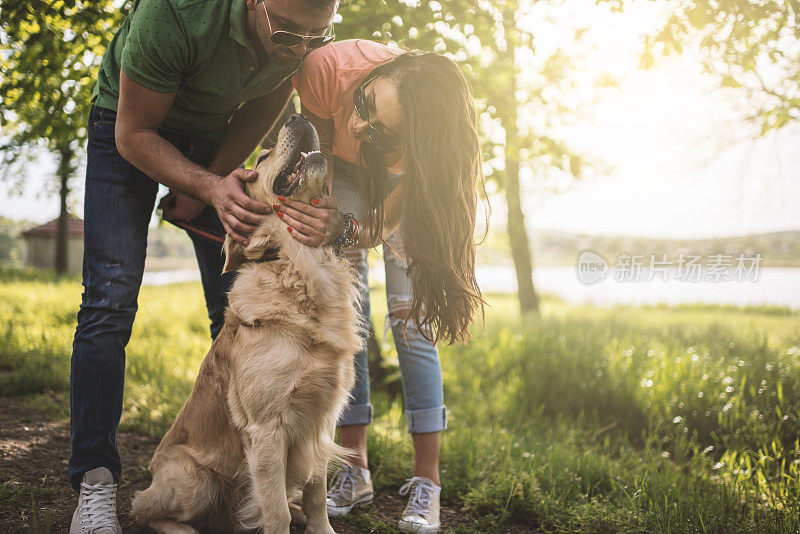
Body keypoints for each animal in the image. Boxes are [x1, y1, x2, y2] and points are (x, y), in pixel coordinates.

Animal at [132, 115, 362, 534]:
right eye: (264, 157)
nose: (297, 116)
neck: (300, 268)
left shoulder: (321, 418)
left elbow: (317, 494)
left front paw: (318, 524)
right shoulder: (267, 429)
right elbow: (275, 511)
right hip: (191, 478)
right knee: (142, 509)